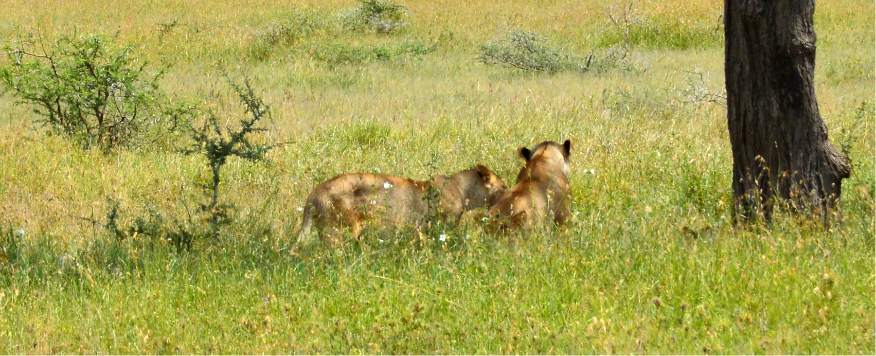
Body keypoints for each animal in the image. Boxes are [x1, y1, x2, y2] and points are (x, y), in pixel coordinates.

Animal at [300, 165, 510, 245]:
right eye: (503, 186)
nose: (510, 193)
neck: (462, 190)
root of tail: (314, 193)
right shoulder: (442, 226)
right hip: (339, 231)